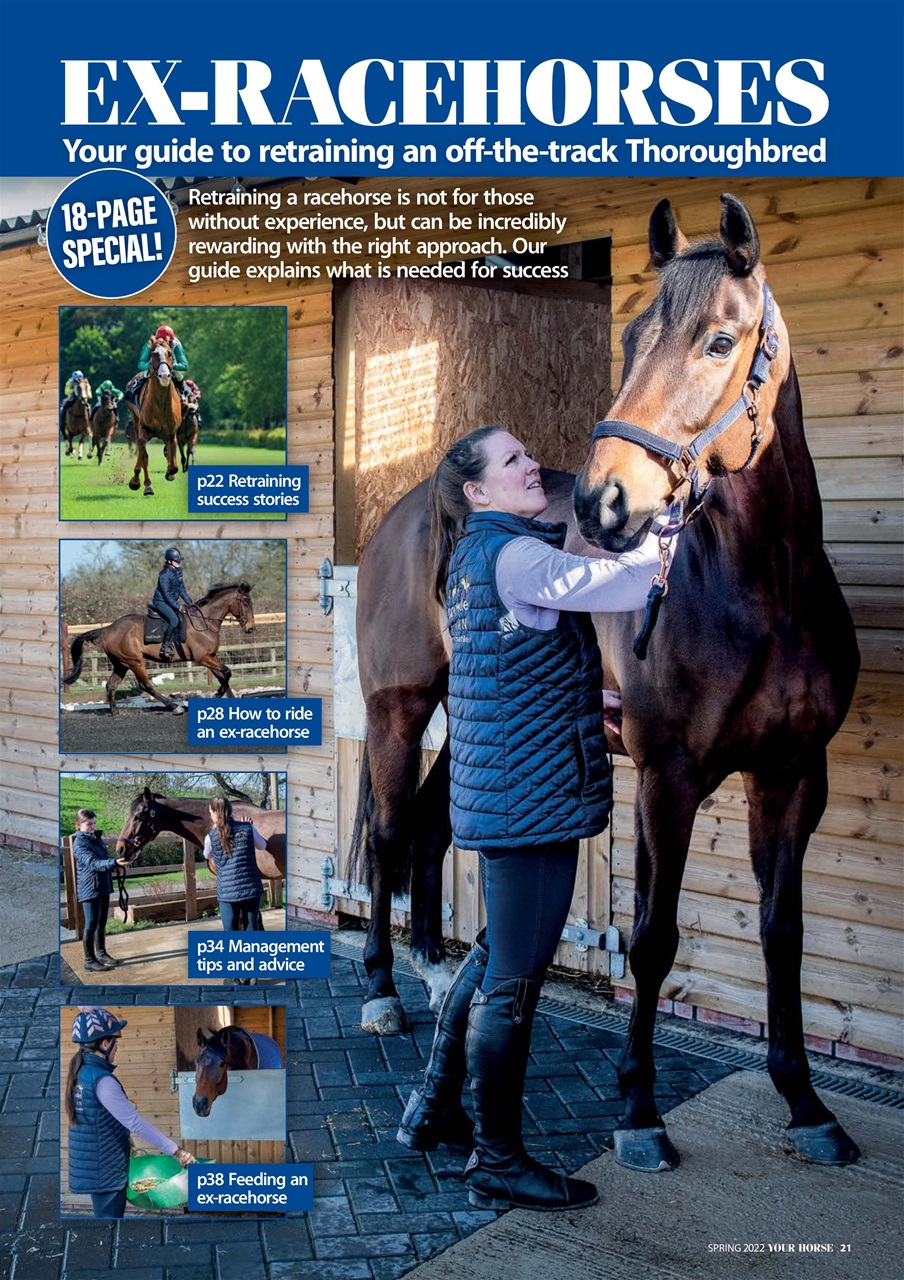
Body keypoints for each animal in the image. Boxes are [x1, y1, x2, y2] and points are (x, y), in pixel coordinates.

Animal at [63, 582, 256, 714]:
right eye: (245, 603)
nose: (251, 628)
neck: (204, 621)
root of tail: (108, 628)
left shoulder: (211, 656)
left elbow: (224, 676)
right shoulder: (202, 658)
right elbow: (227, 673)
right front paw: (216, 696)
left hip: (121, 664)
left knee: (111, 685)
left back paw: (115, 712)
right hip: (134, 661)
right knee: (146, 685)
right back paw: (175, 707)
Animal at [126, 334, 182, 495]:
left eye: (170, 353)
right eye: (153, 354)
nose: (164, 375)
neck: (161, 403)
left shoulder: (171, 433)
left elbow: (173, 465)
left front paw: (170, 473)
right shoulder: (143, 429)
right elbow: (143, 454)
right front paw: (143, 484)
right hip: (135, 421)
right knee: (141, 450)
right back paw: (139, 481)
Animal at [351, 193, 861, 1171]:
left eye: (719, 339)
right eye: (629, 336)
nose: (604, 504)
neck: (761, 592)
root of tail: (411, 507)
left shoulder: (790, 778)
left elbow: (782, 933)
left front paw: (806, 1104)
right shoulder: (669, 779)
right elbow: (653, 940)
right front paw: (639, 1111)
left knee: (431, 832)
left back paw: (437, 976)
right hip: (399, 710)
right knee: (392, 837)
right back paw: (385, 994)